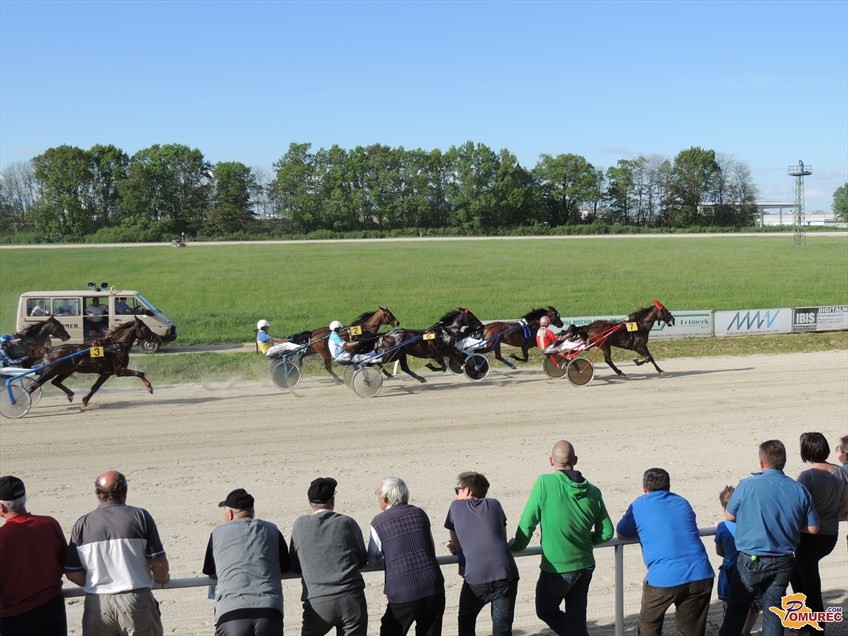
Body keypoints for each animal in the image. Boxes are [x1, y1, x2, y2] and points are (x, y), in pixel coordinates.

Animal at [26, 318, 155, 407]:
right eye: (145, 328)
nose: (155, 338)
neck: (116, 346)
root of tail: (49, 350)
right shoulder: (119, 370)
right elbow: (140, 373)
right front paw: (149, 388)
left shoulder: (106, 373)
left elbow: (95, 387)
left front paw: (84, 402)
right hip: (49, 371)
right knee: (34, 386)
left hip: (67, 371)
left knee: (55, 382)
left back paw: (70, 394)